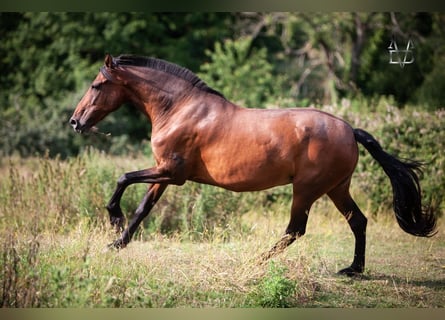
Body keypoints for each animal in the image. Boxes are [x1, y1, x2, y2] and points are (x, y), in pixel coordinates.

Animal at [67, 54, 436, 276]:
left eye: (97, 85)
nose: (75, 121)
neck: (180, 108)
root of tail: (349, 130)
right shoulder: (164, 173)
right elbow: (143, 208)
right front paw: (117, 243)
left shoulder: (172, 172)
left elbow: (123, 177)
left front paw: (114, 220)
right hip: (336, 188)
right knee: (357, 221)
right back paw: (353, 269)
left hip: (306, 190)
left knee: (295, 229)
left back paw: (256, 261)